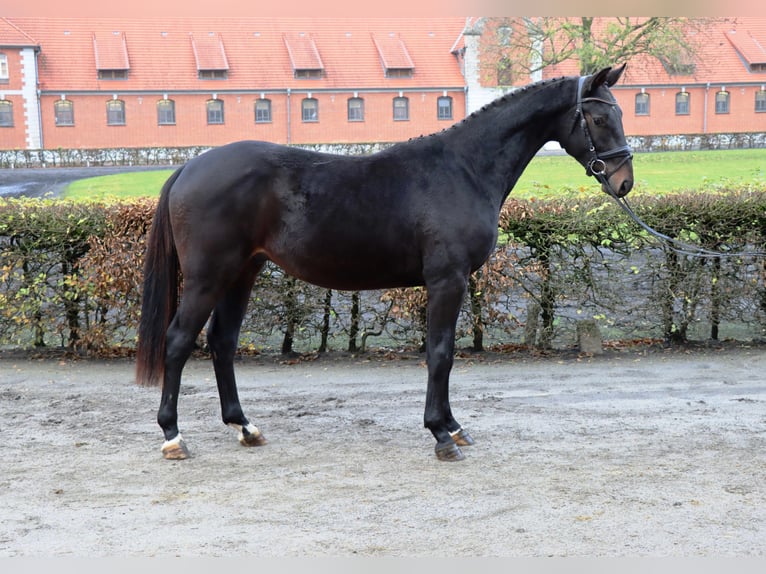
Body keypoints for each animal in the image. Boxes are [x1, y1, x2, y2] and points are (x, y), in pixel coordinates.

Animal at [136, 65, 636, 464]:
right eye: (598, 117)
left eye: (621, 113)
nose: (624, 182)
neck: (463, 169)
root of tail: (189, 168)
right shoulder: (447, 281)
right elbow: (440, 353)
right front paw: (441, 434)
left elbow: (443, 355)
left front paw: (453, 427)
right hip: (208, 277)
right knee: (178, 341)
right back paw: (173, 436)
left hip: (242, 273)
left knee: (222, 342)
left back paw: (245, 427)